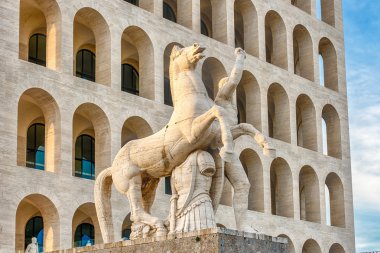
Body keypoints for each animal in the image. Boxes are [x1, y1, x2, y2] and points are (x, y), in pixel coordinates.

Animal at [94, 44, 235, 243]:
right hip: (131, 181)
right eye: (181, 52)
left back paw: (149, 231)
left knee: (141, 210)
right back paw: (159, 226)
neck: (189, 100)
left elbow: (237, 125)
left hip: (149, 183)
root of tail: (111, 168)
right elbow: (218, 111)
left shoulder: (211, 139)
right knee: (135, 212)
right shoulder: (192, 133)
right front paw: (229, 150)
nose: (197, 46)